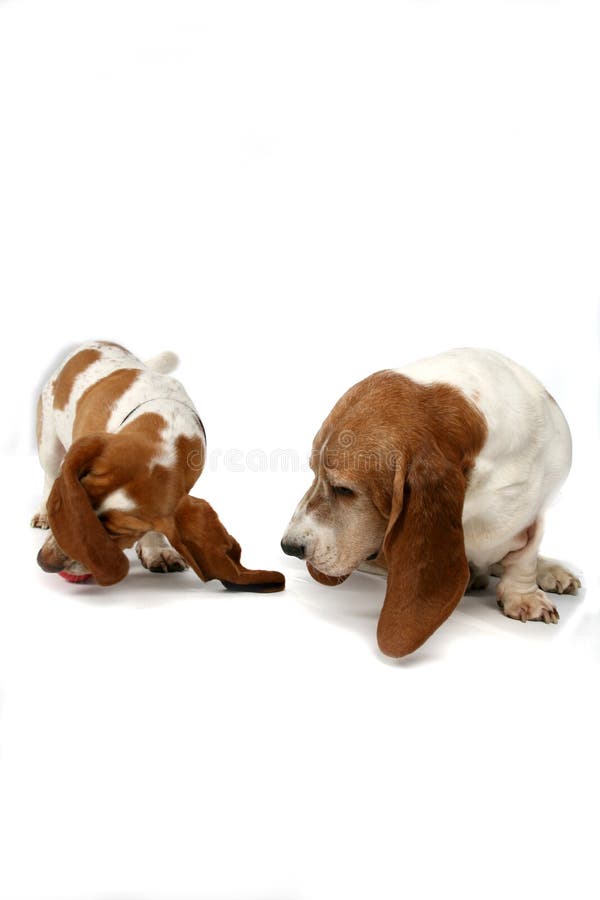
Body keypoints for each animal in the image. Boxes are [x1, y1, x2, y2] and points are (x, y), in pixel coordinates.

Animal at [33, 342, 286, 596]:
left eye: (119, 532)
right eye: (79, 502)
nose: (45, 563)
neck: (163, 431)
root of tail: (94, 344)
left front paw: (155, 550)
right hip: (49, 447)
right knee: (49, 475)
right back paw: (43, 513)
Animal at [282, 348, 580, 656]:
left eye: (343, 489)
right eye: (313, 472)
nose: (289, 547)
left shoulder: (537, 508)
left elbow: (525, 556)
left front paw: (524, 597)